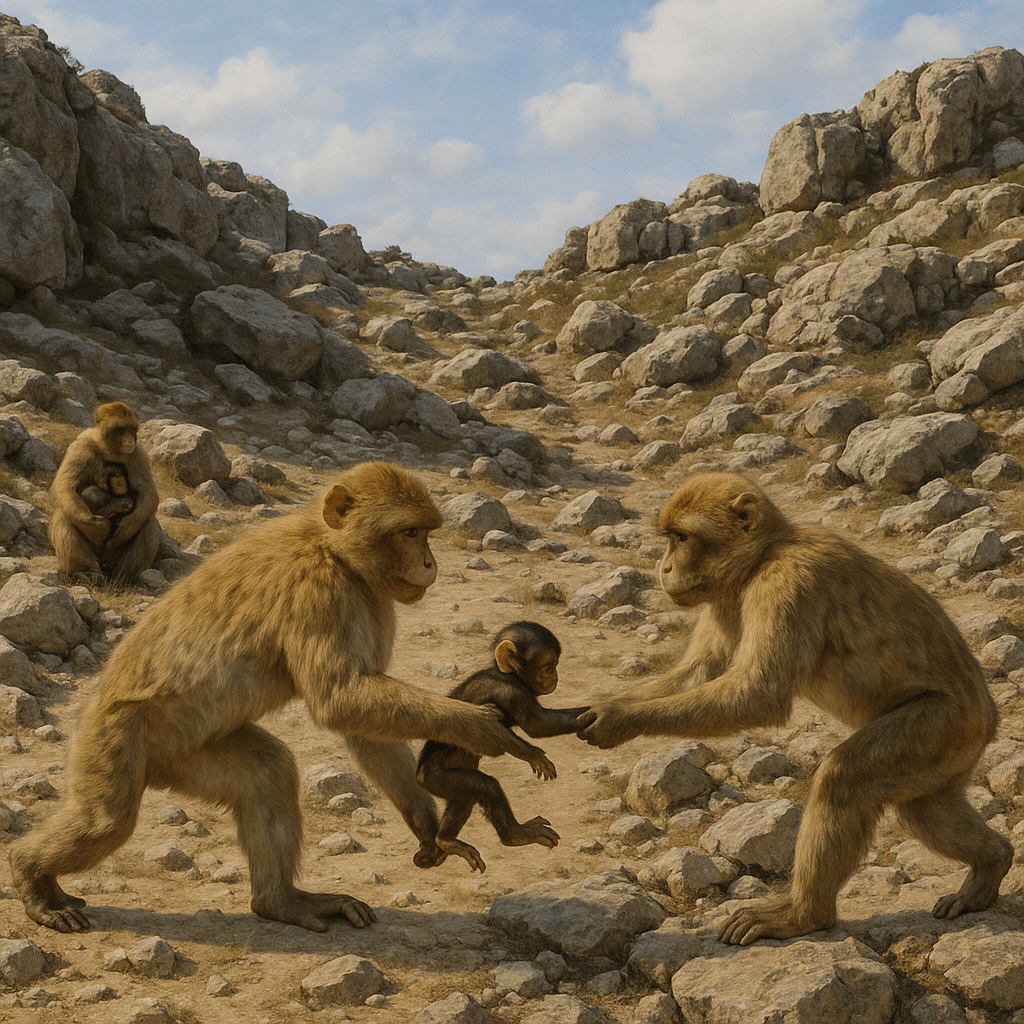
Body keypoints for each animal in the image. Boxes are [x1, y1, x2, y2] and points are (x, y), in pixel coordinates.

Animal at [10, 462, 528, 934]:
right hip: (116, 733)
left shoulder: (373, 598)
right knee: (107, 821)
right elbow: (339, 699)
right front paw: (477, 726)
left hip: (176, 753)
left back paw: (280, 901)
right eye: (410, 532)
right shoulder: (319, 591)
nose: (429, 564)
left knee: (268, 773)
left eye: (425, 533)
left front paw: (426, 823)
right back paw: (29, 875)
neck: (332, 549)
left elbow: (361, 725)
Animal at [48, 402, 160, 583]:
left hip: (113, 557)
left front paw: (125, 528)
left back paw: (124, 576)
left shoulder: (138, 454)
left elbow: (148, 495)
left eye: (131, 430)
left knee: (149, 522)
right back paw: (85, 571)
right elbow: (66, 487)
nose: (129, 439)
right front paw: (96, 526)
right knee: (64, 514)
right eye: (121, 430)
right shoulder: (80, 447)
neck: (108, 448)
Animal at [416, 621, 589, 873]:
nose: (555, 676)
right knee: (486, 786)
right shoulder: (511, 692)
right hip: (435, 777)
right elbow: (538, 725)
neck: (508, 674)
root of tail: (419, 774)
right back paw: (516, 834)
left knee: (464, 798)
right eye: (548, 667)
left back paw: (445, 841)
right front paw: (536, 756)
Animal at [577, 472, 1013, 946]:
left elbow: (758, 695)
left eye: (682, 538)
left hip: (944, 723)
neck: (764, 555)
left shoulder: (786, 584)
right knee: (925, 811)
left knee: (847, 778)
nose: (665, 568)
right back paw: (993, 864)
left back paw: (806, 915)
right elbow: (699, 673)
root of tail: (989, 719)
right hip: (949, 753)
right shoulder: (726, 597)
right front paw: (606, 707)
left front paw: (618, 720)